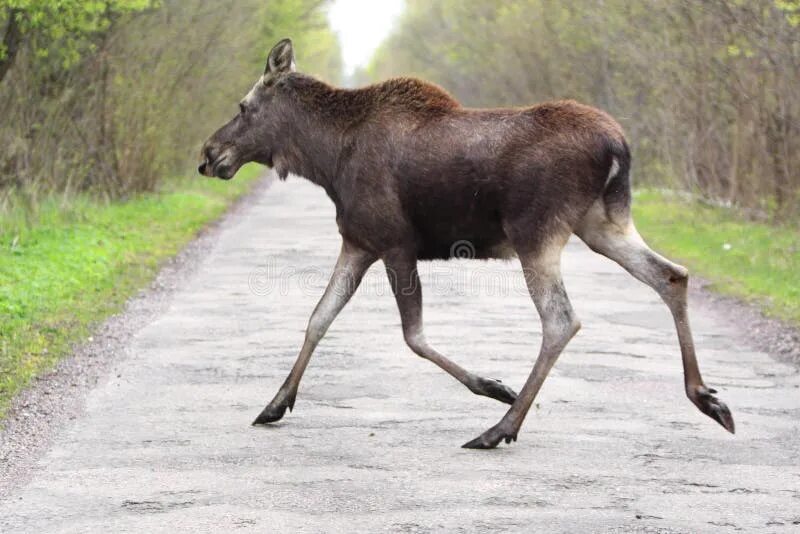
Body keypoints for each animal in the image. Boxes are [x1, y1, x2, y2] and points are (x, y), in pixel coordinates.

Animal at [198, 37, 732, 450]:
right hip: (603, 225)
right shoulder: (358, 242)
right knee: (672, 275)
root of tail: (618, 145)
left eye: (243, 107)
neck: (326, 159)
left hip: (536, 233)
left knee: (561, 319)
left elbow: (412, 336)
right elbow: (318, 317)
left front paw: (494, 386)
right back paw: (707, 398)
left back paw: (500, 427)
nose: (208, 154)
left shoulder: (395, 242)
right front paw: (275, 403)